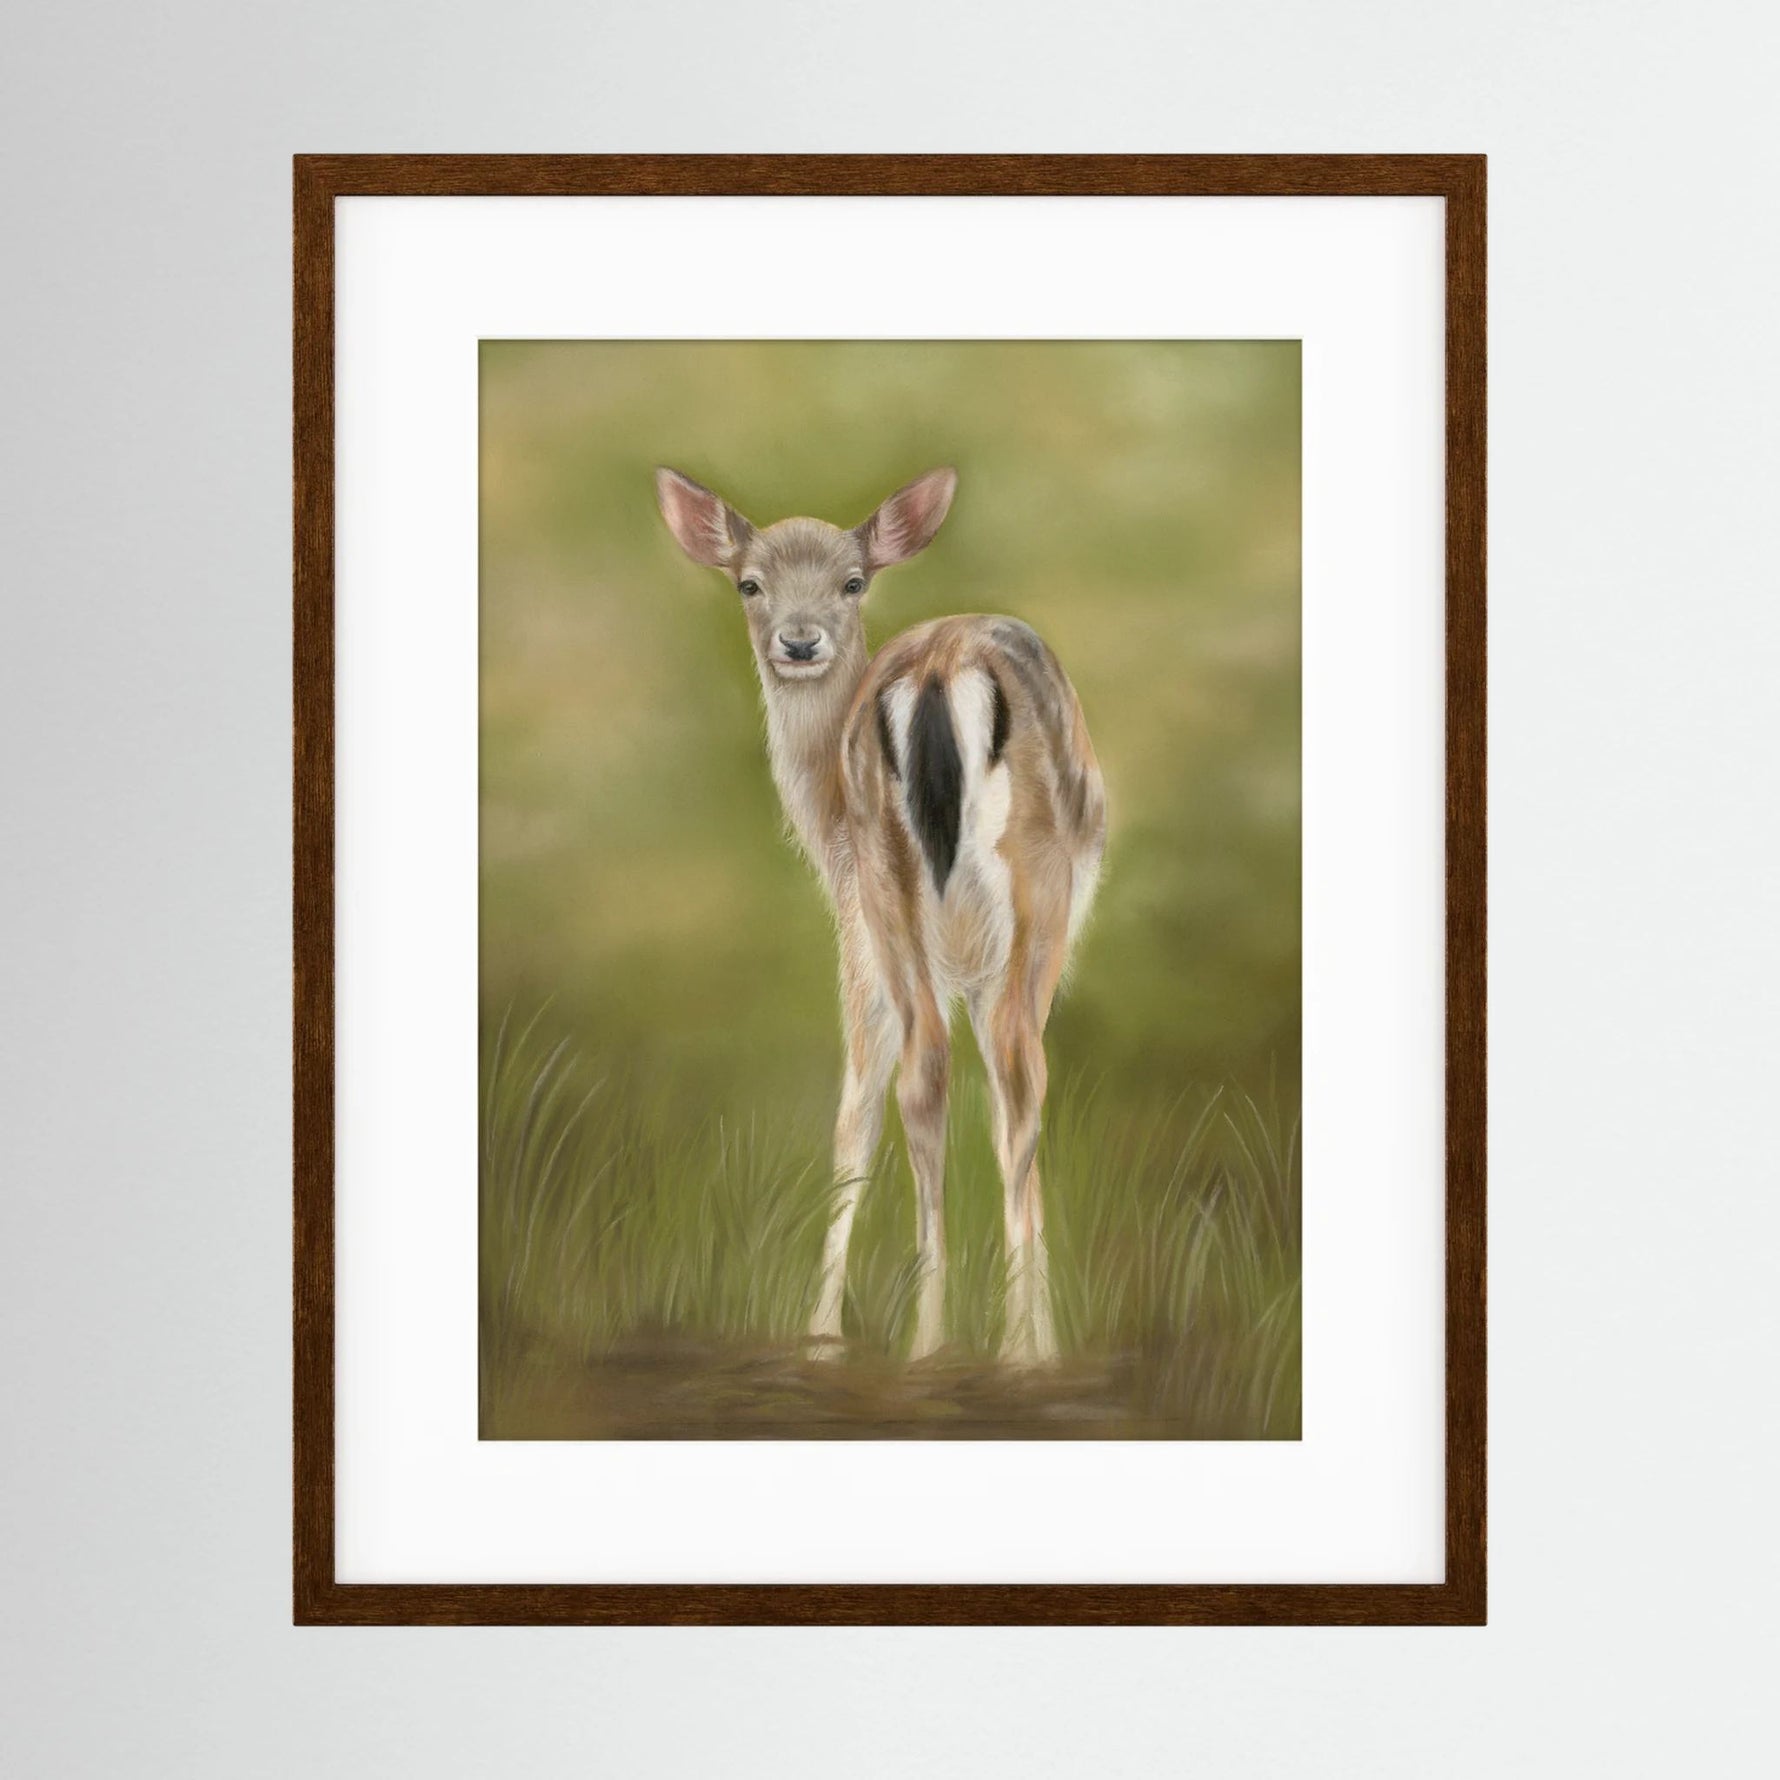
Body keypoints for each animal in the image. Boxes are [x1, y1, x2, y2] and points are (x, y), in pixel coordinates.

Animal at [655, 466, 1106, 1364]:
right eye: (748, 583)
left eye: (852, 582)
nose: (798, 642)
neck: (821, 824)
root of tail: (938, 670)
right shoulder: (876, 942)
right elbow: (874, 1110)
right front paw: (826, 1332)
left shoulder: (875, 932)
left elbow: (869, 1107)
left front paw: (823, 1333)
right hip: (1015, 894)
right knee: (1005, 1073)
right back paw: (994, 1349)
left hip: (898, 885)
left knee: (939, 1073)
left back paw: (938, 1340)